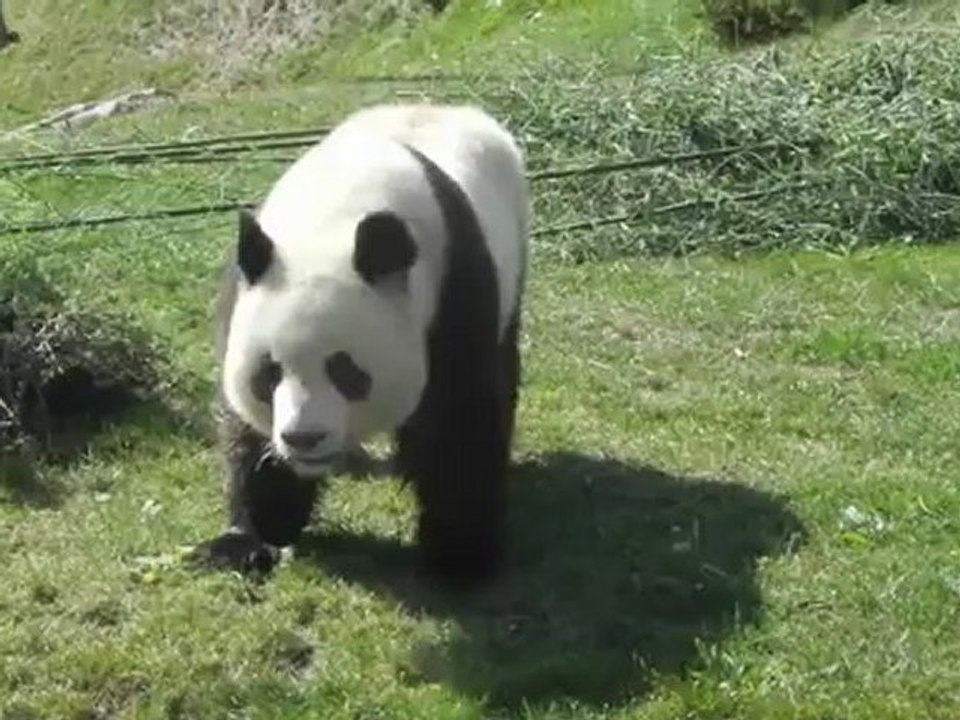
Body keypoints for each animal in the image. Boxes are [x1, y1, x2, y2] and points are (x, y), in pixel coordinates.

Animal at [193, 103, 531, 584]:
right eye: (268, 374)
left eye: (346, 371)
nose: (303, 438)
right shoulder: (244, 291)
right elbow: (246, 432)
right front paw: (251, 539)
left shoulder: (453, 289)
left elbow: (457, 419)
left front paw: (461, 555)